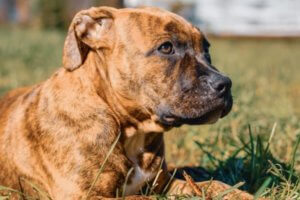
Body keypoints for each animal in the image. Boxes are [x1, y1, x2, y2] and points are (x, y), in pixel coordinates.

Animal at [0, 5, 258, 199]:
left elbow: (211, 185)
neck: (131, 130)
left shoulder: (164, 183)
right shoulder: (85, 195)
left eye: (206, 49)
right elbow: (142, 199)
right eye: (166, 47)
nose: (225, 84)